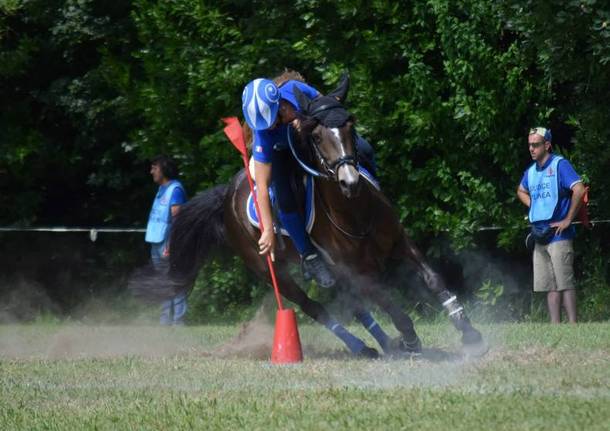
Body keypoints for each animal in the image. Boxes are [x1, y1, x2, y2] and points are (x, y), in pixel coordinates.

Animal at [164, 77, 482, 358]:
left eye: (351, 126)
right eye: (317, 137)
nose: (349, 182)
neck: (355, 212)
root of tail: (228, 194)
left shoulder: (399, 243)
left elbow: (432, 280)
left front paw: (469, 332)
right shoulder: (357, 272)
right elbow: (390, 303)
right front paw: (411, 341)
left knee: (355, 308)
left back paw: (382, 345)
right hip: (270, 270)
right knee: (312, 306)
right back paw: (360, 346)